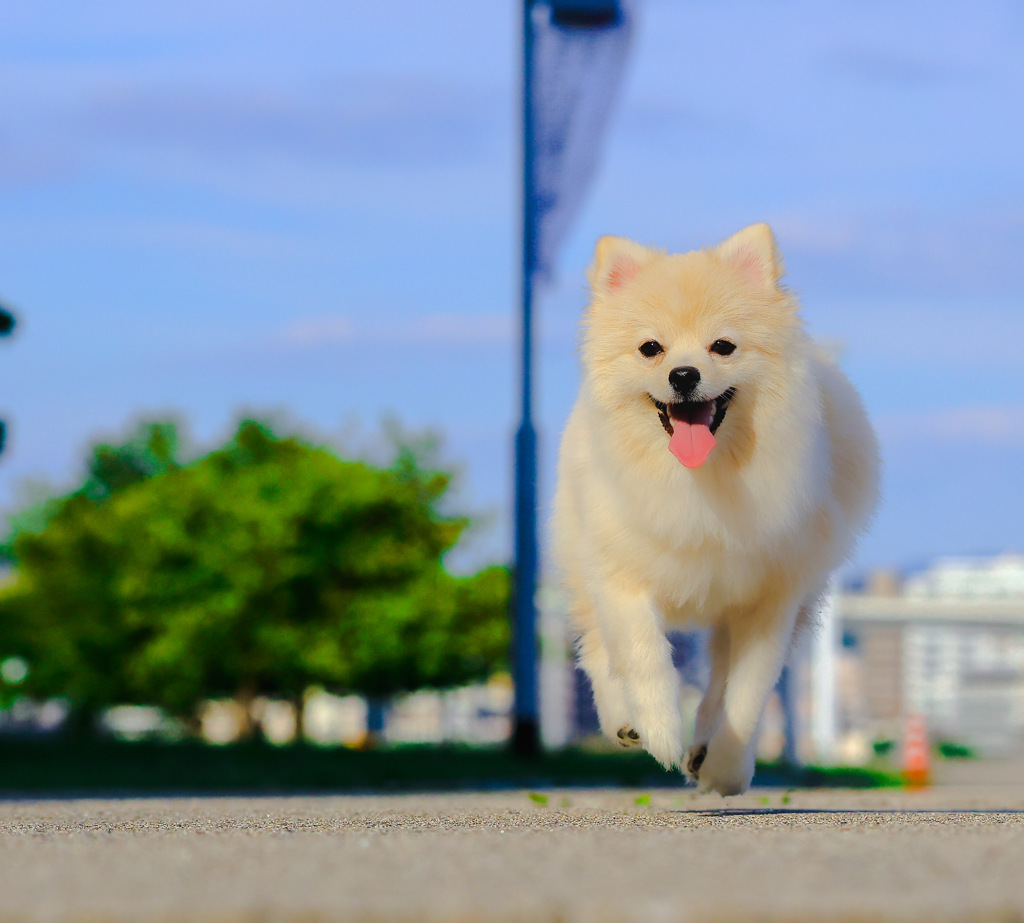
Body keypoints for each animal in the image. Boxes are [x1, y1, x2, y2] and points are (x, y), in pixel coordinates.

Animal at [552, 221, 880, 790]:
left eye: (723, 346)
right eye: (651, 349)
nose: (684, 375)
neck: (701, 479)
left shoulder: (771, 598)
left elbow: (746, 693)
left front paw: (724, 764)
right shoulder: (618, 573)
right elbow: (640, 652)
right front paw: (660, 730)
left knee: (721, 680)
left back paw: (710, 753)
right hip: (580, 561)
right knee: (596, 645)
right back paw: (623, 721)